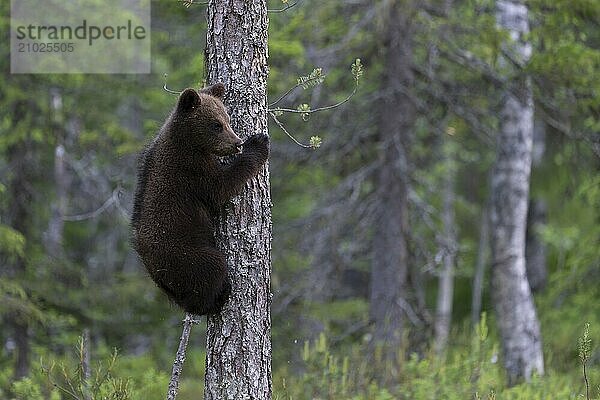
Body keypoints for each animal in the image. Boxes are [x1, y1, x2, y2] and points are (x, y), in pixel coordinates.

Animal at [132, 83, 270, 316]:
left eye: (227, 119)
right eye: (216, 125)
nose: (237, 143)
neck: (189, 142)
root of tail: (155, 271)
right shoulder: (191, 170)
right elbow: (221, 187)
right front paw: (259, 143)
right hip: (185, 254)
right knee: (213, 267)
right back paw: (219, 296)